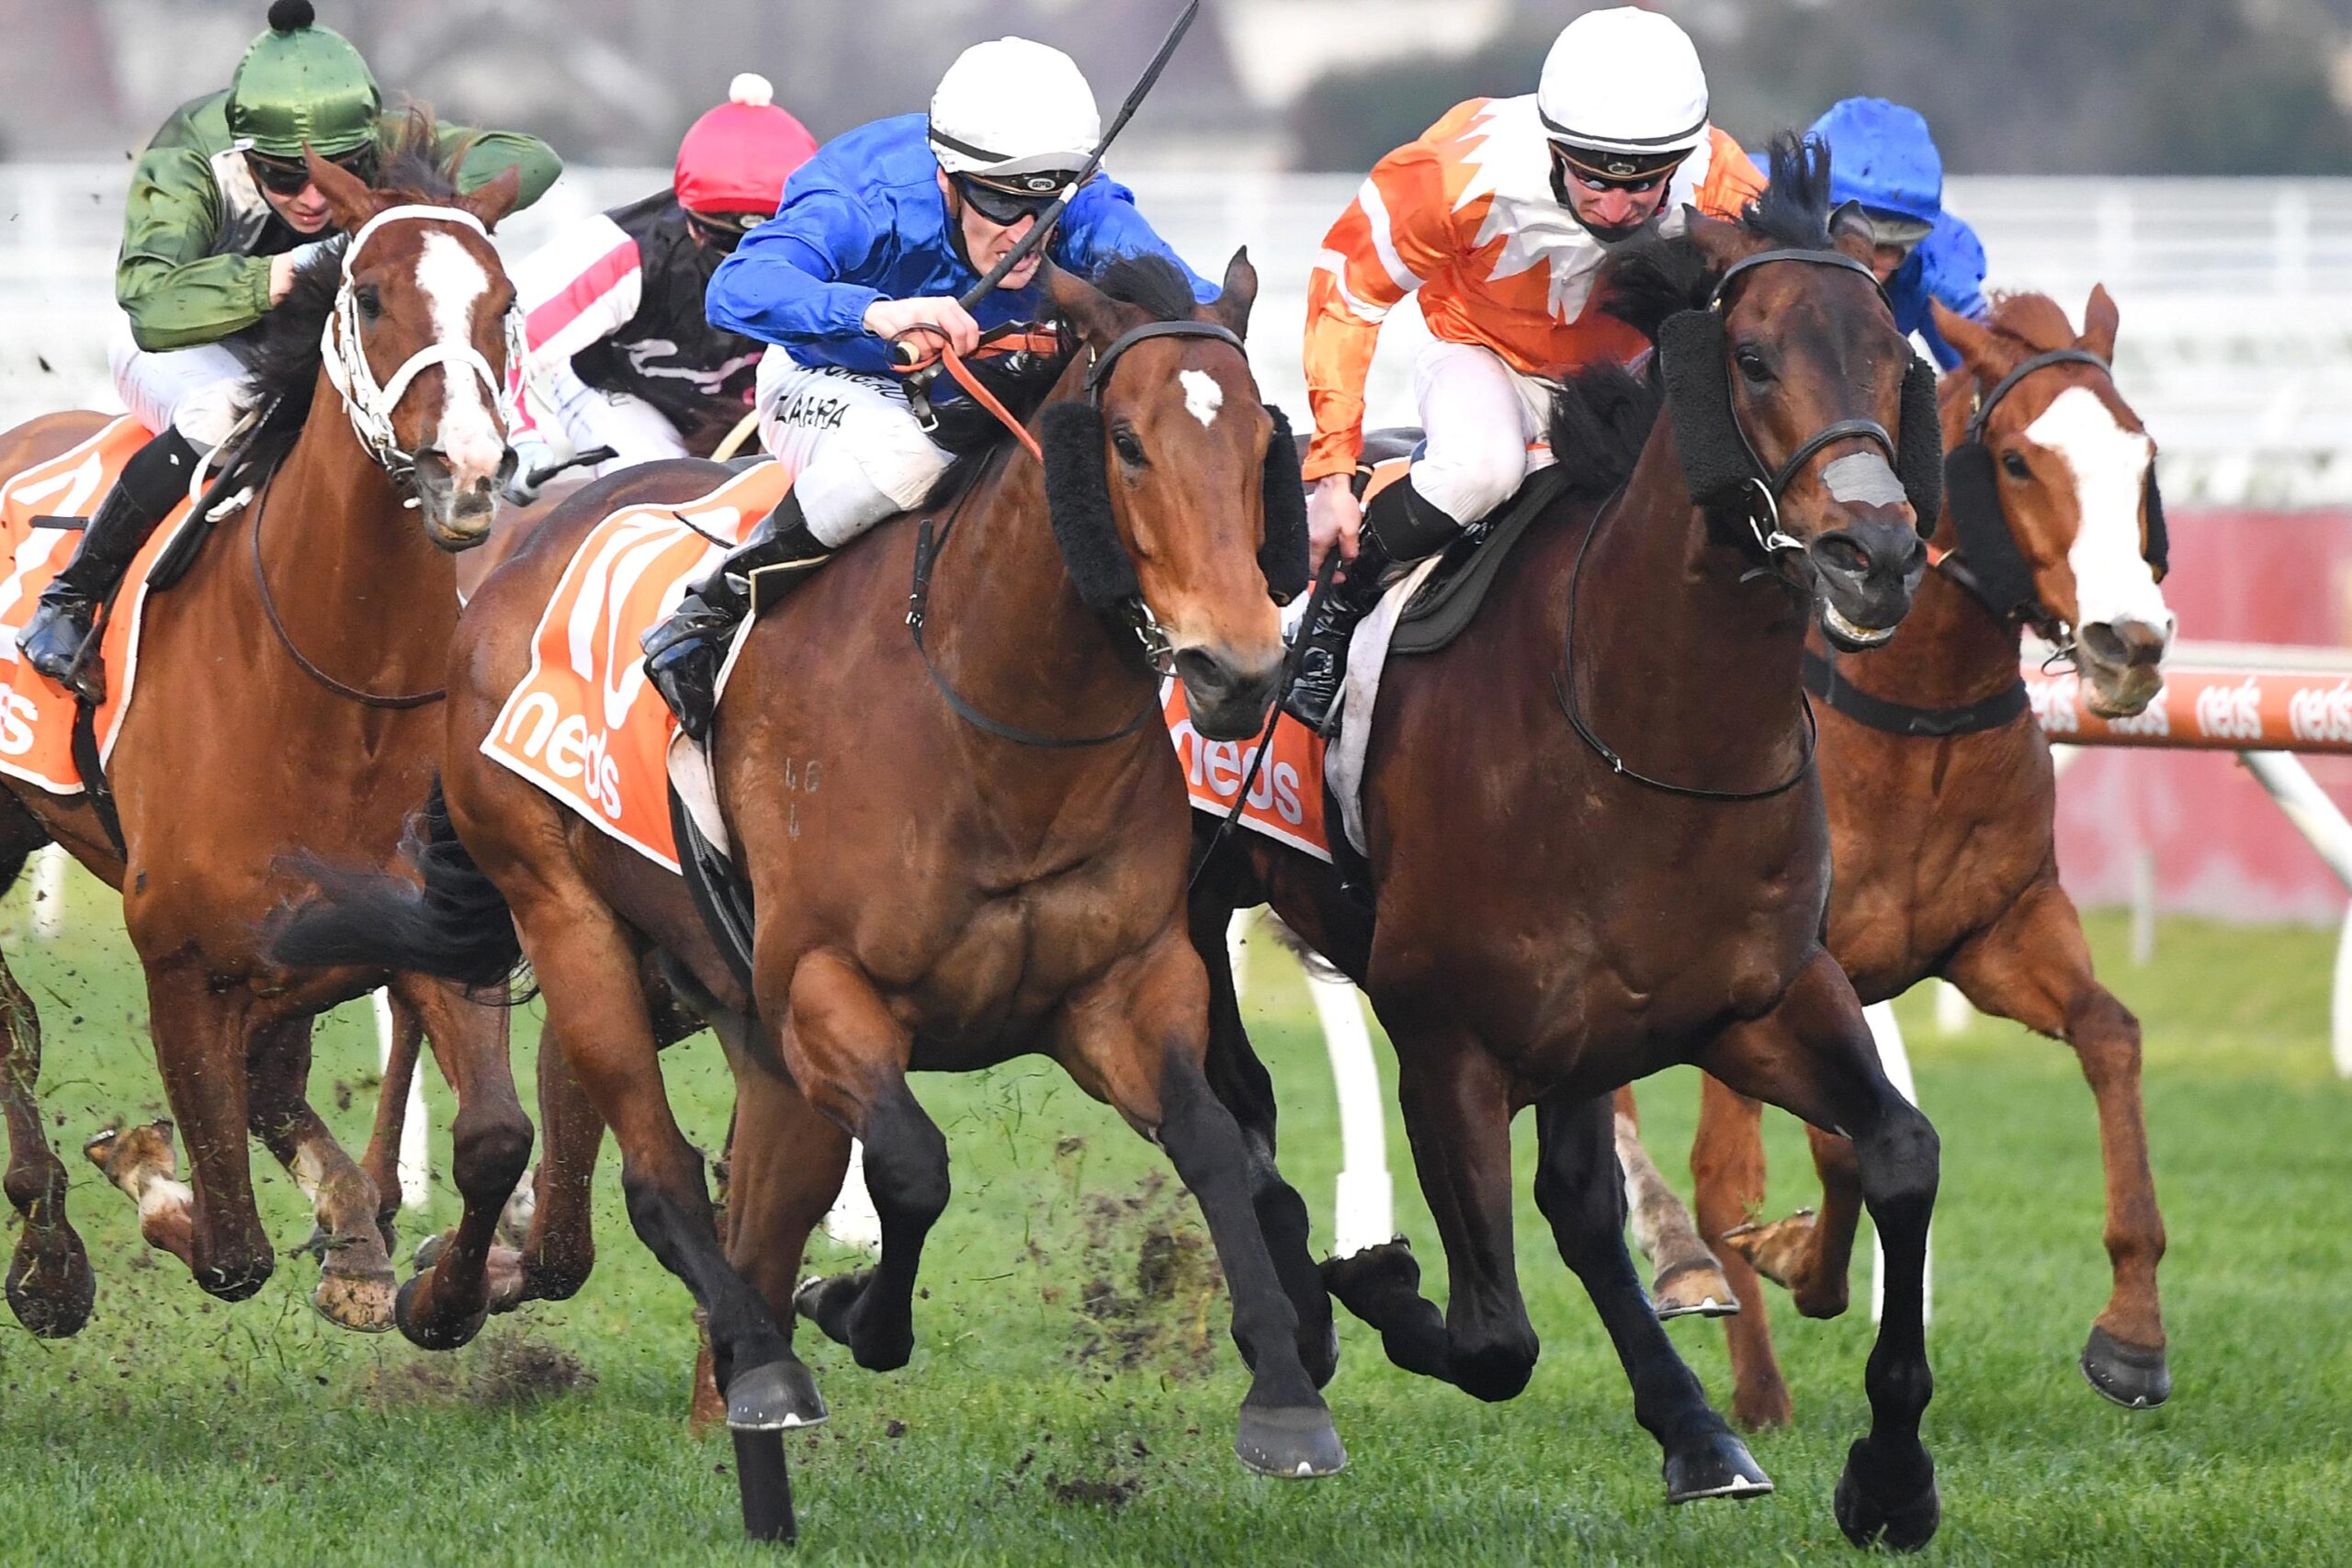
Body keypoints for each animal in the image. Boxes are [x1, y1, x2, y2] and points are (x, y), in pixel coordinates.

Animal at [0, 138, 531, 1354]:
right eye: (369, 295)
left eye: (506, 303)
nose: (467, 472)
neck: (339, 693)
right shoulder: (180, 958)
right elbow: (229, 1245)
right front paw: (148, 1170)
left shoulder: (434, 927)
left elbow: (492, 1140)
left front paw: (426, 1285)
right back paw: (49, 1257)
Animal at [270, 254, 1345, 1523]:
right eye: (1125, 442)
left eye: (1261, 447)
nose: (1237, 671)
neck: (996, 722)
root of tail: (520, 549)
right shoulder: (828, 990)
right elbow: (916, 1169)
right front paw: (855, 1313)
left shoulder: (1121, 990)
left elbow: (1216, 1147)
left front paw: (1286, 1395)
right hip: (569, 915)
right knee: (660, 1178)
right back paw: (751, 1363)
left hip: (743, 1016)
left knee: (758, 1202)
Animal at [1194, 141, 1947, 1551]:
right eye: (1752, 357)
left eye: (1891, 354)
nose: (1871, 554)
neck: (1646, 730)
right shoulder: (1445, 1031)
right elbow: (1494, 1334)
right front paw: (1369, 1276)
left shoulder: (1747, 995)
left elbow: (1899, 1153)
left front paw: (1888, 1473)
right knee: (1231, 1094)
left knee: (1579, 1206)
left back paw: (1695, 1427)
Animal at [1618, 282, 2182, 1419]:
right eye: (2015, 461)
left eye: (2140, 454)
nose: (2128, 643)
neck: (1914, 723)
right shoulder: (1781, 971)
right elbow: (1806, 1155)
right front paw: (1793, 1267)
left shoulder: (1999, 934)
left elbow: (2112, 1036)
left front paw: (2133, 1333)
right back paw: (1711, 1310)